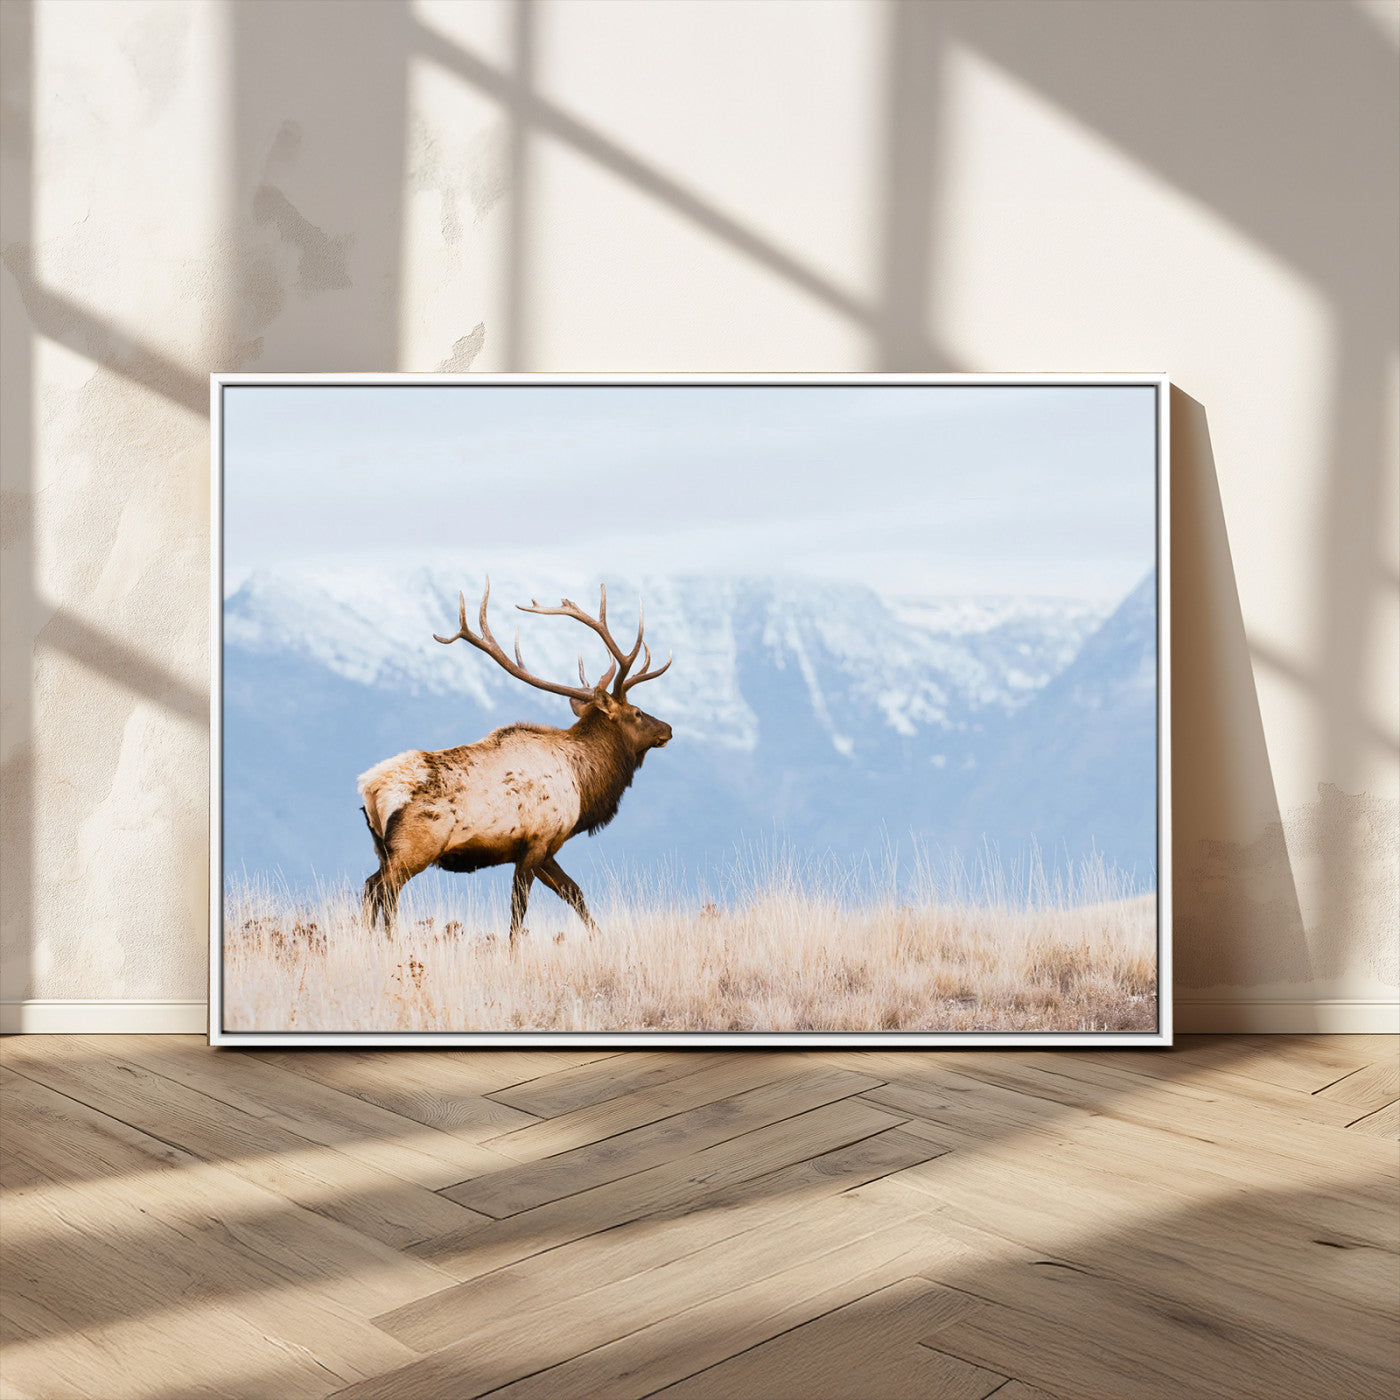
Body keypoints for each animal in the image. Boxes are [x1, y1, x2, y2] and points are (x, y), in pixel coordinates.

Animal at [357, 579, 672, 945]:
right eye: (636, 712)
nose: (668, 728)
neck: (583, 784)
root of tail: (370, 788)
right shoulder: (537, 840)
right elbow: (519, 909)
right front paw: (514, 951)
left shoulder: (547, 848)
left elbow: (574, 893)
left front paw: (600, 938)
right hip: (415, 846)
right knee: (382, 889)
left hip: (383, 848)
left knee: (374, 887)